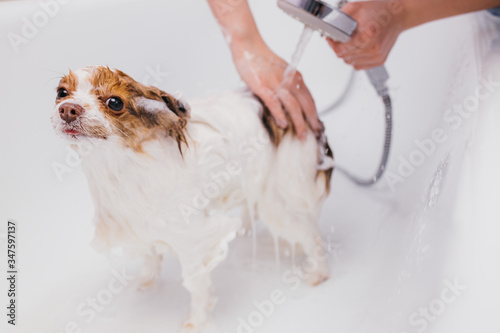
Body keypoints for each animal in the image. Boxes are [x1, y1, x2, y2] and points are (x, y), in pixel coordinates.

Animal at [52, 65, 334, 330]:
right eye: (61, 92)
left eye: (114, 102)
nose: (68, 109)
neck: (122, 166)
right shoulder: (138, 224)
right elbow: (150, 257)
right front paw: (146, 285)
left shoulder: (193, 238)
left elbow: (197, 284)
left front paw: (196, 322)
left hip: (278, 200)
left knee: (311, 236)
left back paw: (318, 274)